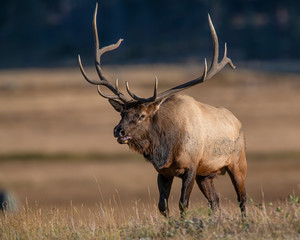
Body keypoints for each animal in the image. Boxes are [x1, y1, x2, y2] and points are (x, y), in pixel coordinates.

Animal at [78, 3, 247, 218]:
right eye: (122, 113)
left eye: (142, 115)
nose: (118, 130)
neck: (166, 147)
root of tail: (238, 121)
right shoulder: (163, 172)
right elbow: (162, 206)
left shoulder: (191, 166)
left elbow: (183, 203)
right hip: (206, 174)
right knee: (215, 201)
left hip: (238, 163)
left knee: (242, 199)